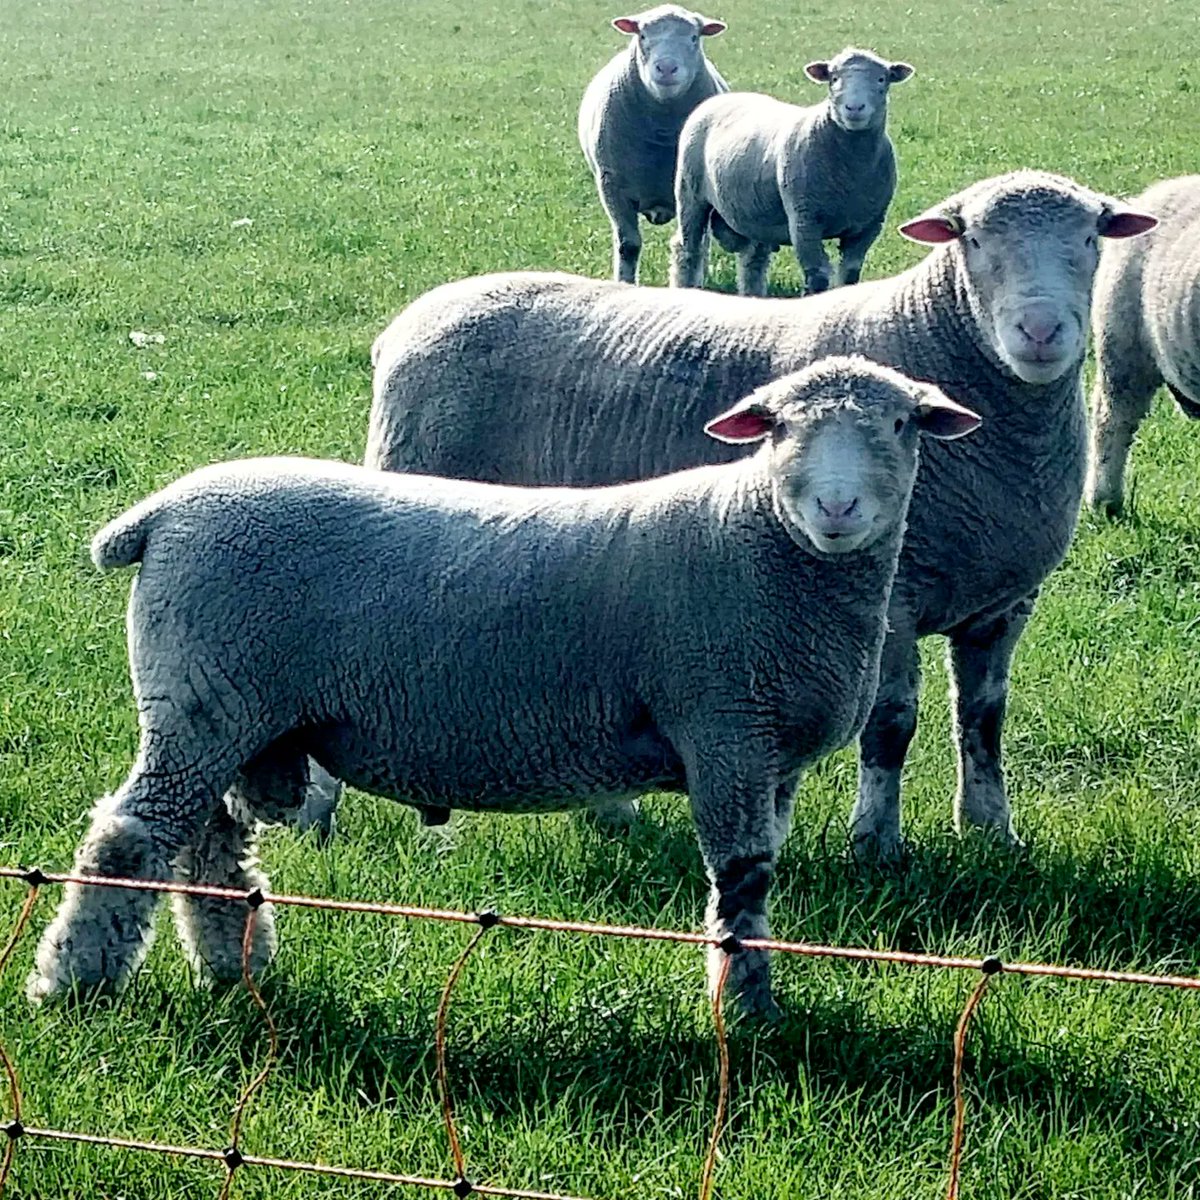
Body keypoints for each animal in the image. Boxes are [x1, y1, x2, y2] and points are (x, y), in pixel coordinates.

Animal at [28, 358, 981, 1019]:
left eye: (903, 422)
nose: (837, 511)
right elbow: (740, 886)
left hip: (234, 714)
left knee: (209, 848)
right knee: (129, 840)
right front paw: (747, 1014)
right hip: (202, 702)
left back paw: (235, 970)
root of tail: (160, 515)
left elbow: (757, 882)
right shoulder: (727, 731)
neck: (762, 540)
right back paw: (73, 983)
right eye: (779, 429)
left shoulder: (769, 754)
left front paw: (751, 1000)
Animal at [365, 171, 1158, 860]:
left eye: (1091, 237)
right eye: (972, 239)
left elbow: (985, 719)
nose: (1041, 332)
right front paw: (876, 843)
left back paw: (610, 813)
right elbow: (891, 725)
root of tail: (410, 320)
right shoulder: (893, 596)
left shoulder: (1005, 600)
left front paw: (992, 830)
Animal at [579, 4, 728, 285]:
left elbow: (688, 245)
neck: (661, 132)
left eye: (694, 38)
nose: (667, 68)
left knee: (700, 245)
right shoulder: (612, 186)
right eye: (643, 36)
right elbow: (628, 245)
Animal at [670, 47, 912, 296]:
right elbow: (818, 276)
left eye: (881, 79)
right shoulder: (804, 220)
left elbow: (850, 275)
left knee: (753, 260)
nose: (854, 109)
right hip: (690, 193)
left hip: (756, 213)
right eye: (833, 79)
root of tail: (721, 98)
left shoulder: (868, 227)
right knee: (688, 250)